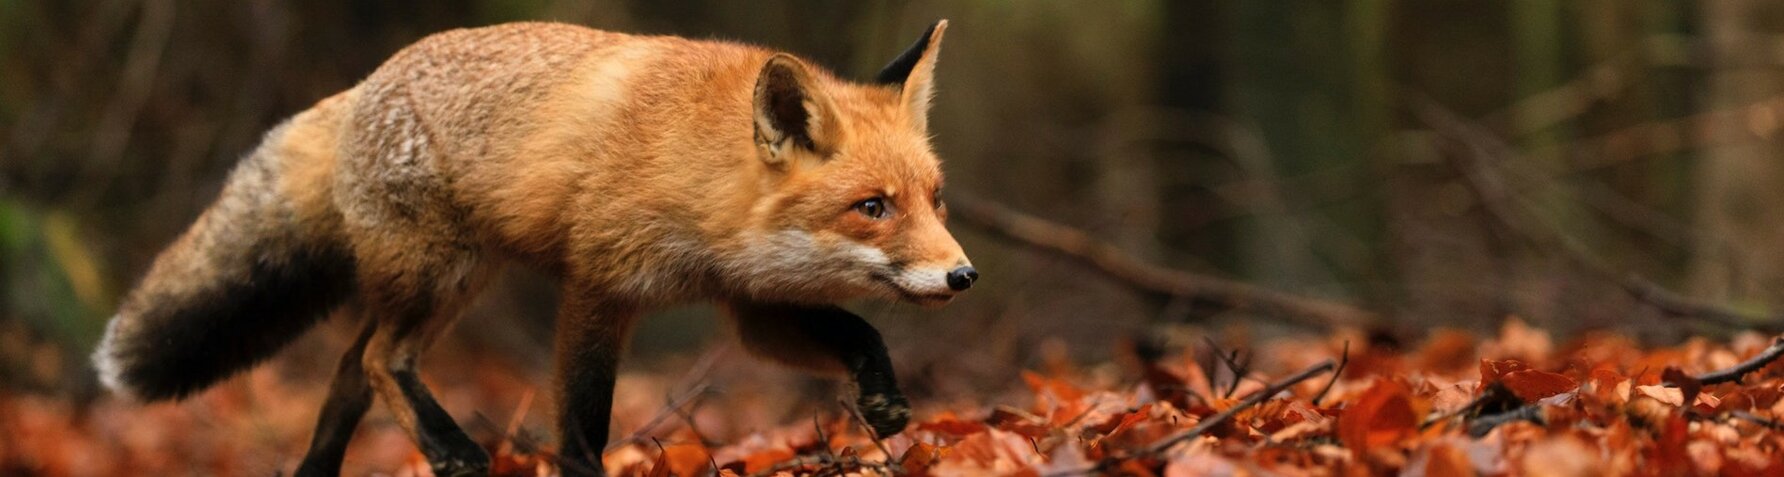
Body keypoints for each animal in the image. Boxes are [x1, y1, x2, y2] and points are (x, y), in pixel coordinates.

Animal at [90, 20, 975, 476]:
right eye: (872, 207)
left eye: (934, 199)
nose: (963, 273)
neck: (696, 170)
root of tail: (364, 83)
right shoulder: (598, 283)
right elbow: (582, 422)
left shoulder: (749, 302)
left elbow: (861, 330)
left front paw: (884, 399)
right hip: (441, 275)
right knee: (377, 361)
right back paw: (453, 451)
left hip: (445, 281)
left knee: (348, 370)